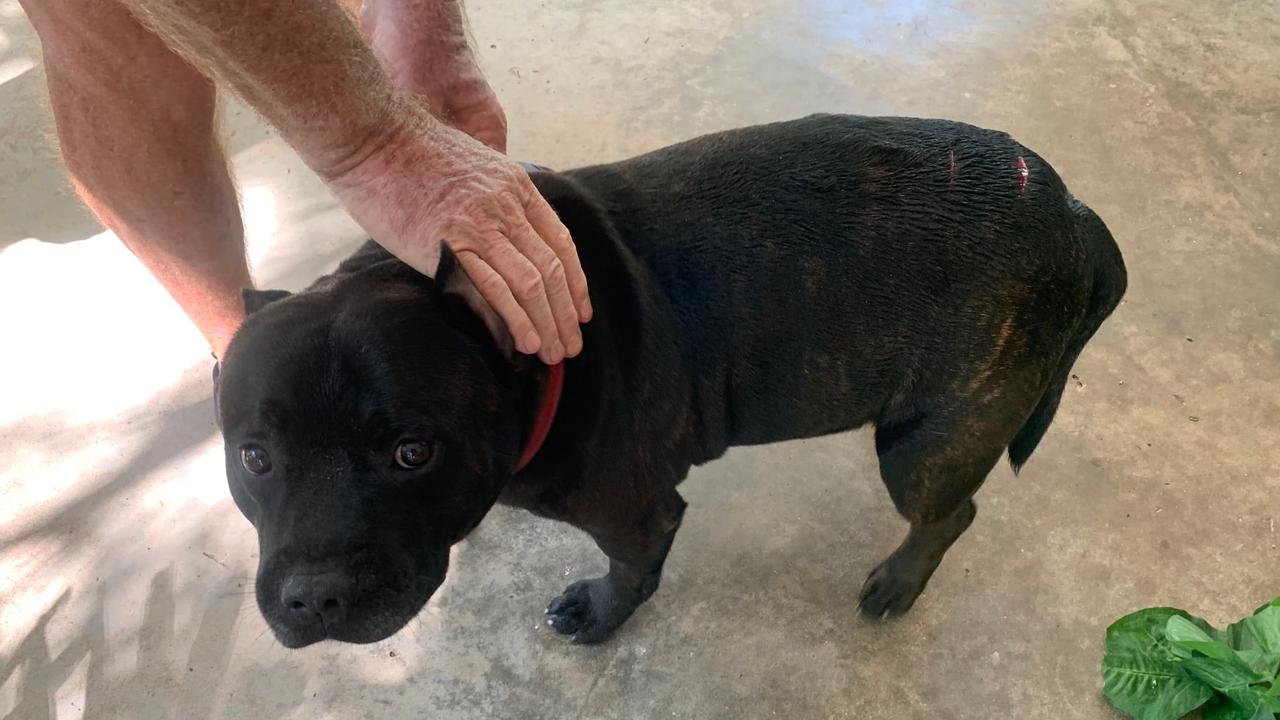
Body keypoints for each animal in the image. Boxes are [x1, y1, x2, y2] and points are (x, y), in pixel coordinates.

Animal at [215, 113, 1126, 645]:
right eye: (253, 460)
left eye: (411, 452)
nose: (314, 600)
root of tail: (1073, 212)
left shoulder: (636, 514)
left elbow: (629, 571)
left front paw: (599, 613)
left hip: (925, 450)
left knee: (949, 514)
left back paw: (899, 582)